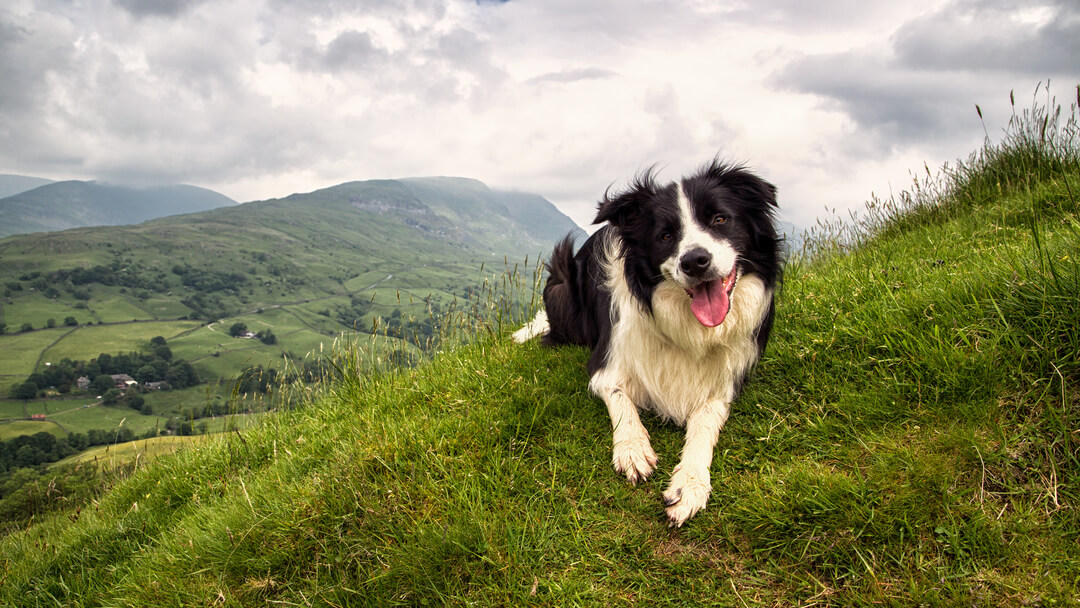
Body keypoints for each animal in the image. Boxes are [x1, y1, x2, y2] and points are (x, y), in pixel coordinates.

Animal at [509, 159, 781, 524]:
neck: (687, 326)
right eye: (665, 235)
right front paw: (632, 449)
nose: (695, 261)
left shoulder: (725, 382)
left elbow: (705, 423)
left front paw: (690, 483)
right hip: (562, 286)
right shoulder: (606, 364)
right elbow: (621, 400)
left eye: (720, 219)